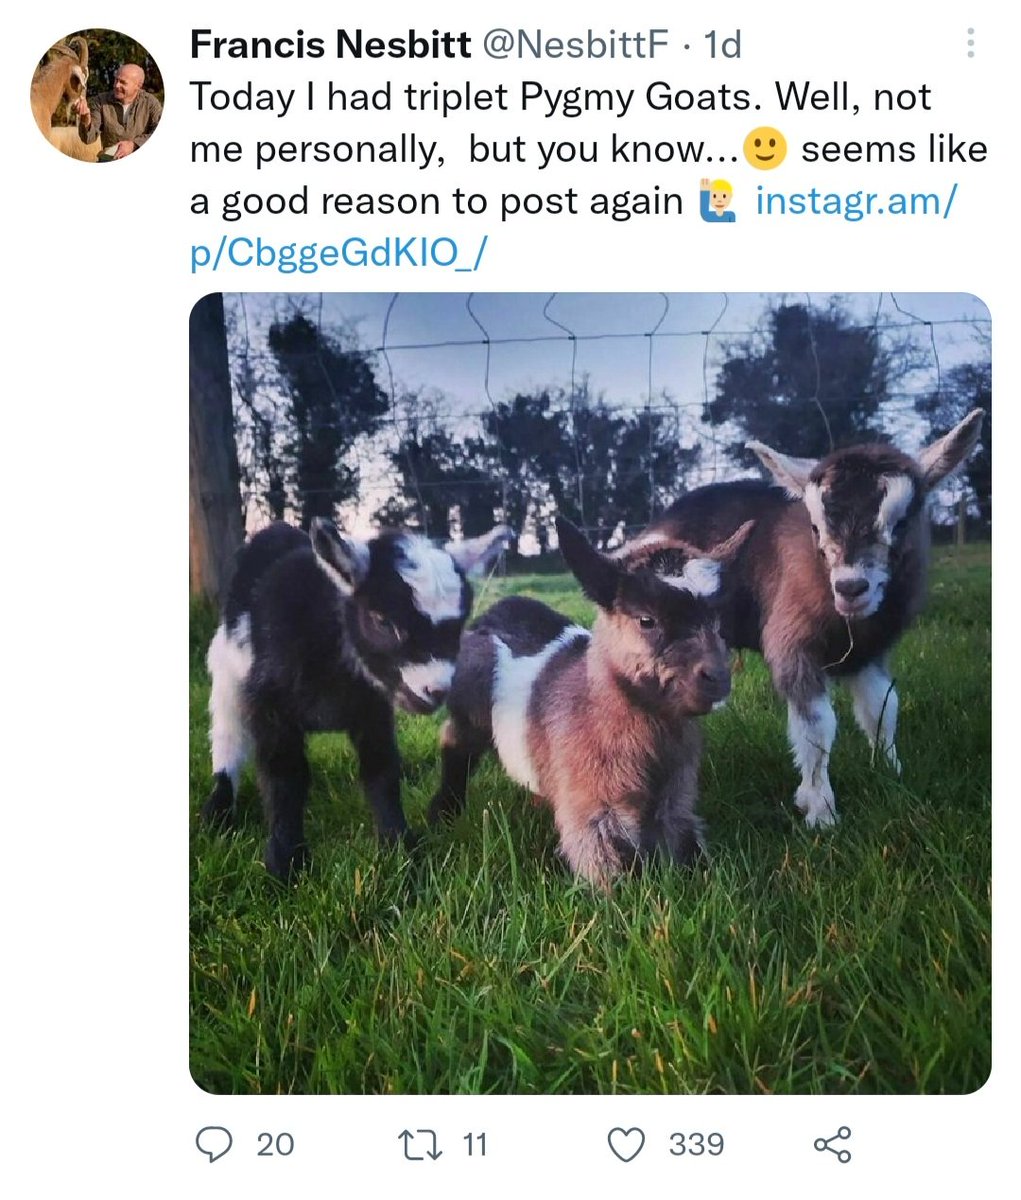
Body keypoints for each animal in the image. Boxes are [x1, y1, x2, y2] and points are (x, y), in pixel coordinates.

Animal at [203, 518, 511, 878]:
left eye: (459, 624)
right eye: (382, 621)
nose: (436, 690)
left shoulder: (373, 708)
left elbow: (381, 770)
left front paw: (400, 849)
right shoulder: (271, 708)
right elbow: (284, 777)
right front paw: (286, 862)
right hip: (227, 678)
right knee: (227, 738)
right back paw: (218, 813)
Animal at [428, 516, 754, 888]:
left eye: (716, 621)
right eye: (646, 620)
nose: (718, 677)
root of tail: (495, 610)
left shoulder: (677, 799)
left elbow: (689, 847)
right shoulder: (592, 813)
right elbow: (610, 876)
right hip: (468, 709)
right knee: (455, 743)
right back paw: (444, 811)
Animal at [641, 408, 985, 828]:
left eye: (901, 522)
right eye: (816, 527)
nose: (851, 587)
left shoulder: (870, 652)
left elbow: (882, 709)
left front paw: (891, 772)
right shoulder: (793, 644)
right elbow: (817, 726)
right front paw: (820, 810)